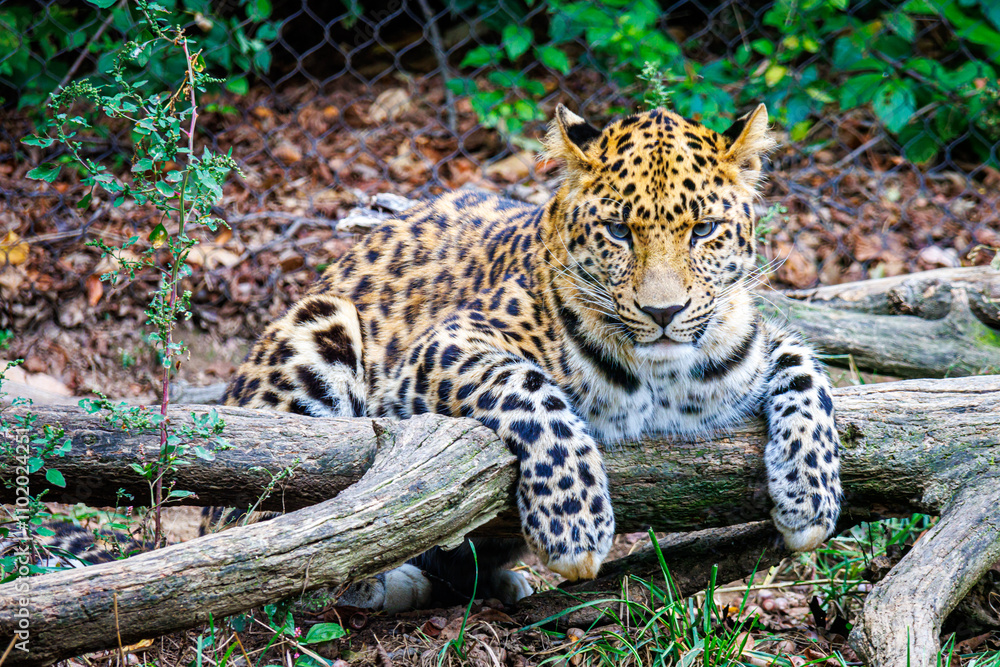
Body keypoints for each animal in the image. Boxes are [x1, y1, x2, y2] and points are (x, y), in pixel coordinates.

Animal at [220, 103, 842, 612]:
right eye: (618, 231)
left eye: (705, 230)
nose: (664, 311)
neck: (660, 373)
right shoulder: (441, 346)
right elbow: (527, 387)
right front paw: (576, 523)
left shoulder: (752, 338)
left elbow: (809, 373)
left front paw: (811, 497)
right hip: (319, 322)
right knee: (277, 548)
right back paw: (385, 583)